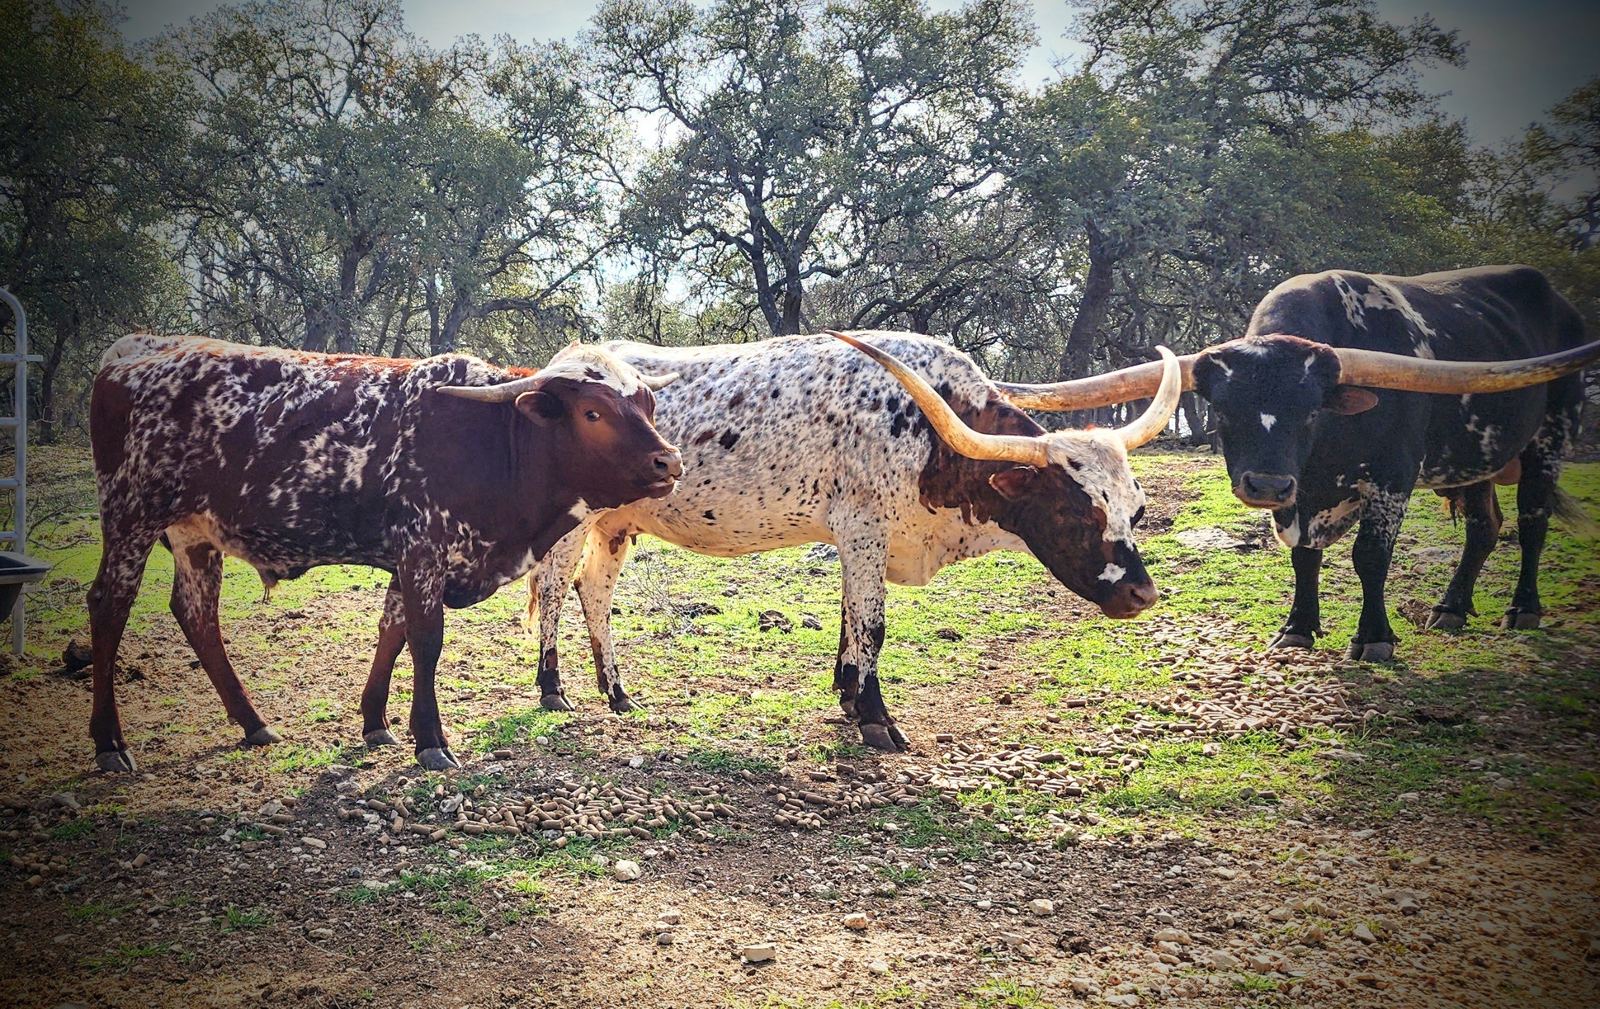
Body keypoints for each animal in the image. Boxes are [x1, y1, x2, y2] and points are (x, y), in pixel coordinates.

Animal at [86, 335, 683, 772]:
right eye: (592, 413)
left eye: (648, 403)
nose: (669, 462)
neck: (492, 439)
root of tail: (135, 354)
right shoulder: (422, 550)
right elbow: (425, 641)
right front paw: (431, 740)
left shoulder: (408, 558)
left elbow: (391, 633)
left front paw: (376, 721)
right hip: (131, 515)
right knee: (109, 606)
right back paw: (110, 743)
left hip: (195, 534)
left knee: (196, 614)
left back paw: (252, 723)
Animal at [425, 331, 1180, 751]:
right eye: (1079, 512)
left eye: (1137, 509)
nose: (1142, 595)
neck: (929, 432)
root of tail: (561, 364)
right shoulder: (864, 528)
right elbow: (873, 625)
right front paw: (876, 720)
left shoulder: (858, 540)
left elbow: (852, 622)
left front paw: (848, 697)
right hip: (576, 520)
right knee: (555, 589)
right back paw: (553, 689)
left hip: (617, 525)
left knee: (595, 592)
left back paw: (617, 692)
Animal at [994, 265, 1600, 661]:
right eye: (1223, 410)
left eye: (1310, 412)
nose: (1265, 484)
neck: (1321, 459)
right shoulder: (1301, 495)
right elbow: (1304, 557)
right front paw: (1298, 628)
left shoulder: (1392, 477)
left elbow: (1370, 557)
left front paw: (1374, 638)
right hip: (1477, 459)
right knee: (1483, 526)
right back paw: (1451, 608)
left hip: (1550, 436)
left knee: (1531, 523)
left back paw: (1523, 609)